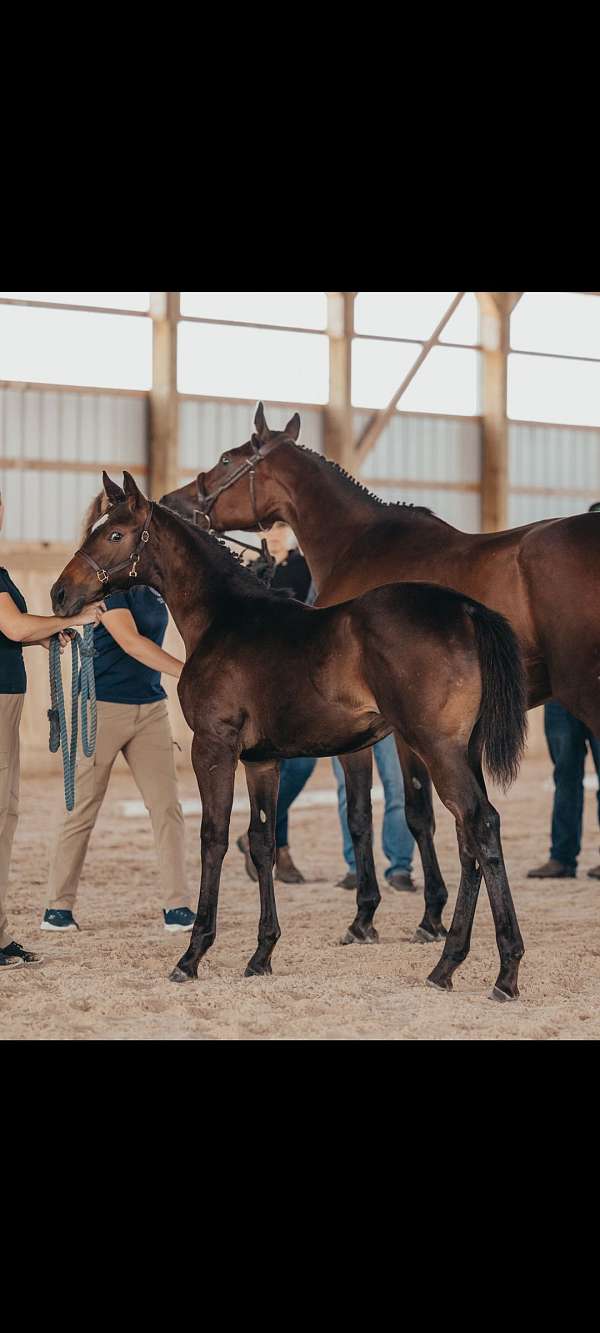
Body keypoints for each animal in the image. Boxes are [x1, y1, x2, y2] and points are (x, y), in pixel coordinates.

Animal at [52, 469, 530, 1002]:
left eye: (115, 534)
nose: (59, 595)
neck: (225, 618)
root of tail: (466, 610)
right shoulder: (262, 761)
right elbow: (261, 841)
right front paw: (261, 954)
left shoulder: (213, 748)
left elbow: (214, 837)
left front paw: (192, 955)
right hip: (462, 753)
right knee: (469, 837)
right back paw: (447, 964)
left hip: (437, 749)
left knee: (480, 825)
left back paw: (503, 971)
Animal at [162, 402, 600, 938]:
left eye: (228, 458)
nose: (174, 502)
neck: (359, 544)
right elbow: (424, 814)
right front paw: (432, 914)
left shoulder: (379, 731)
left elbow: (371, 814)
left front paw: (369, 914)